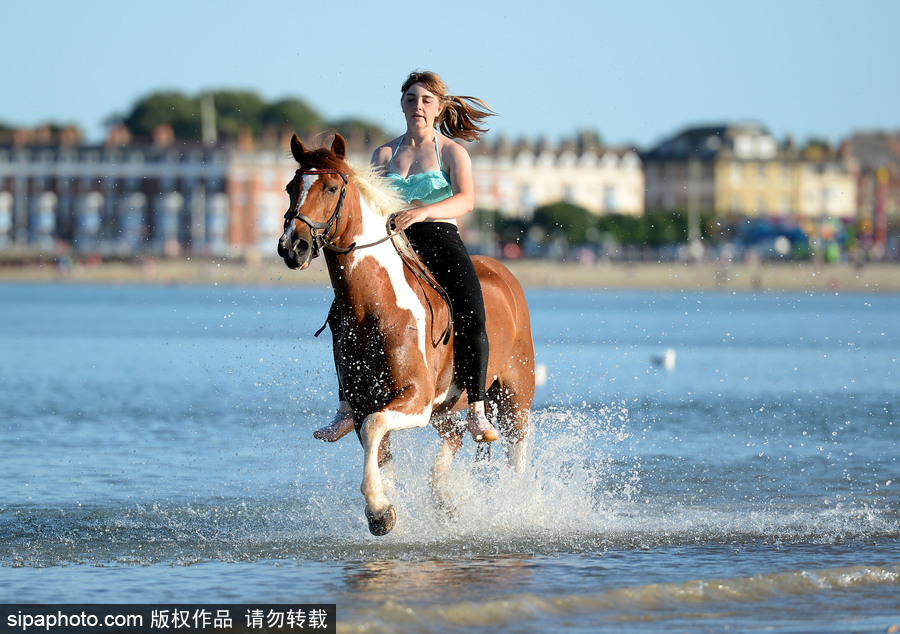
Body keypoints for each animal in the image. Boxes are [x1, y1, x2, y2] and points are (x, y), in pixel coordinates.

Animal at [277, 133, 535, 536]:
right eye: (291, 187)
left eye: (332, 187)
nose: (293, 246)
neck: (375, 304)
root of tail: (504, 273)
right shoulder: (366, 401)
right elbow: (377, 446)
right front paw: (382, 509)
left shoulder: (416, 398)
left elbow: (375, 428)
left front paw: (378, 506)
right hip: (446, 408)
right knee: (454, 438)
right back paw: (445, 502)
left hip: (515, 395)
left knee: (516, 452)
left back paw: (514, 502)